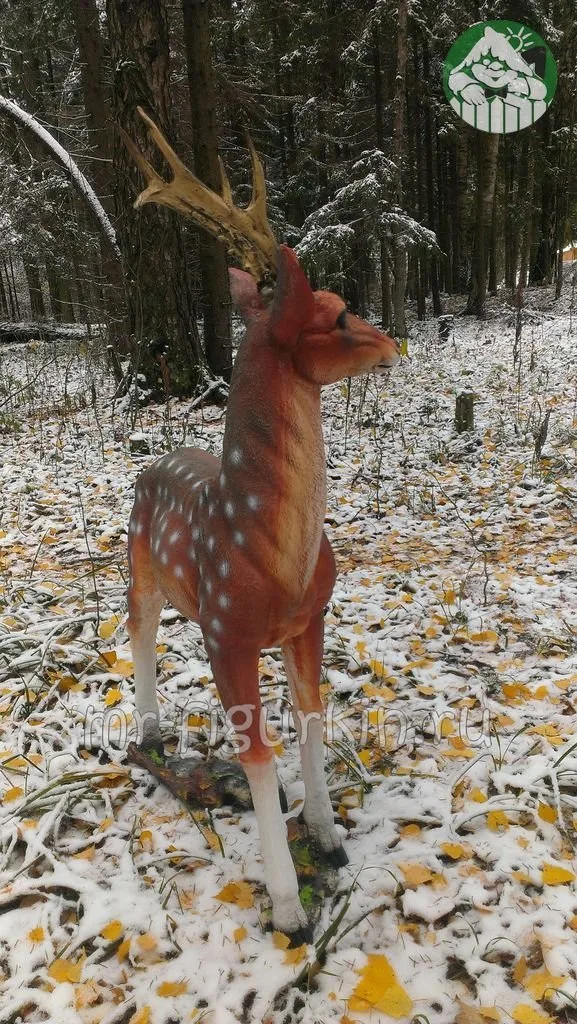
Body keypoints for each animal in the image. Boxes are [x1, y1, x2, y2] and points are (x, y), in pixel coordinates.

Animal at [124, 109, 400, 944]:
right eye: (336, 312)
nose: (393, 341)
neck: (276, 557)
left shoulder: (310, 618)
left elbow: (309, 719)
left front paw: (330, 837)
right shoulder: (229, 633)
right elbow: (255, 754)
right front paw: (286, 907)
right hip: (138, 563)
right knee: (136, 632)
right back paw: (150, 733)